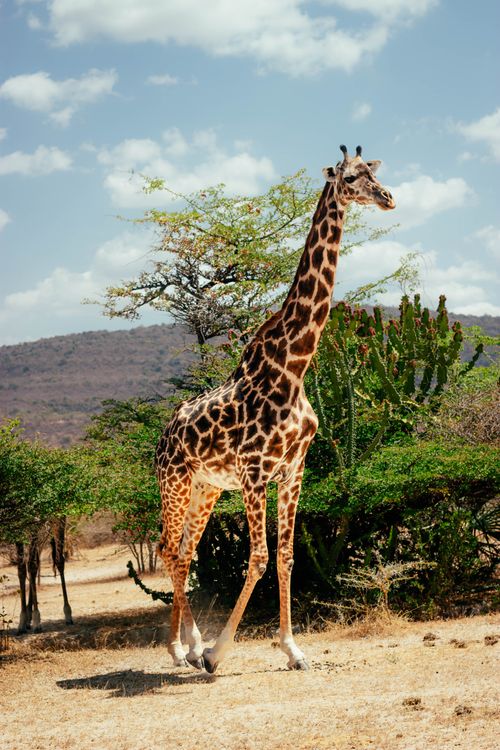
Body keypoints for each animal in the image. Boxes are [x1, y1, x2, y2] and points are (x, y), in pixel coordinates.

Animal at [156, 145, 395, 673]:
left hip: (206, 488)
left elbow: (285, 555)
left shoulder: (293, 468)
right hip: (174, 482)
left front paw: (292, 649)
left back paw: (190, 644)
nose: (388, 198)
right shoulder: (254, 471)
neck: (295, 366)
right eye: (350, 178)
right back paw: (184, 648)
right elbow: (259, 557)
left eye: (373, 171)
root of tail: (163, 433)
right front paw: (219, 654)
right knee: (168, 548)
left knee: (185, 551)